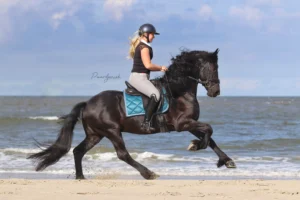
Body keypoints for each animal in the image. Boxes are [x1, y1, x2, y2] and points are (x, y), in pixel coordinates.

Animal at [27, 48, 236, 180]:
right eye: (213, 68)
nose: (215, 92)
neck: (180, 90)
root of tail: (88, 103)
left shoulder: (190, 123)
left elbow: (210, 138)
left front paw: (227, 161)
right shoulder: (182, 123)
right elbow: (209, 130)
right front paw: (195, 146)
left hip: (95, 134)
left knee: (78, 151)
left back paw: (80, 177)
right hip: (112, 131)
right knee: (122, 154)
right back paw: (148, 173)